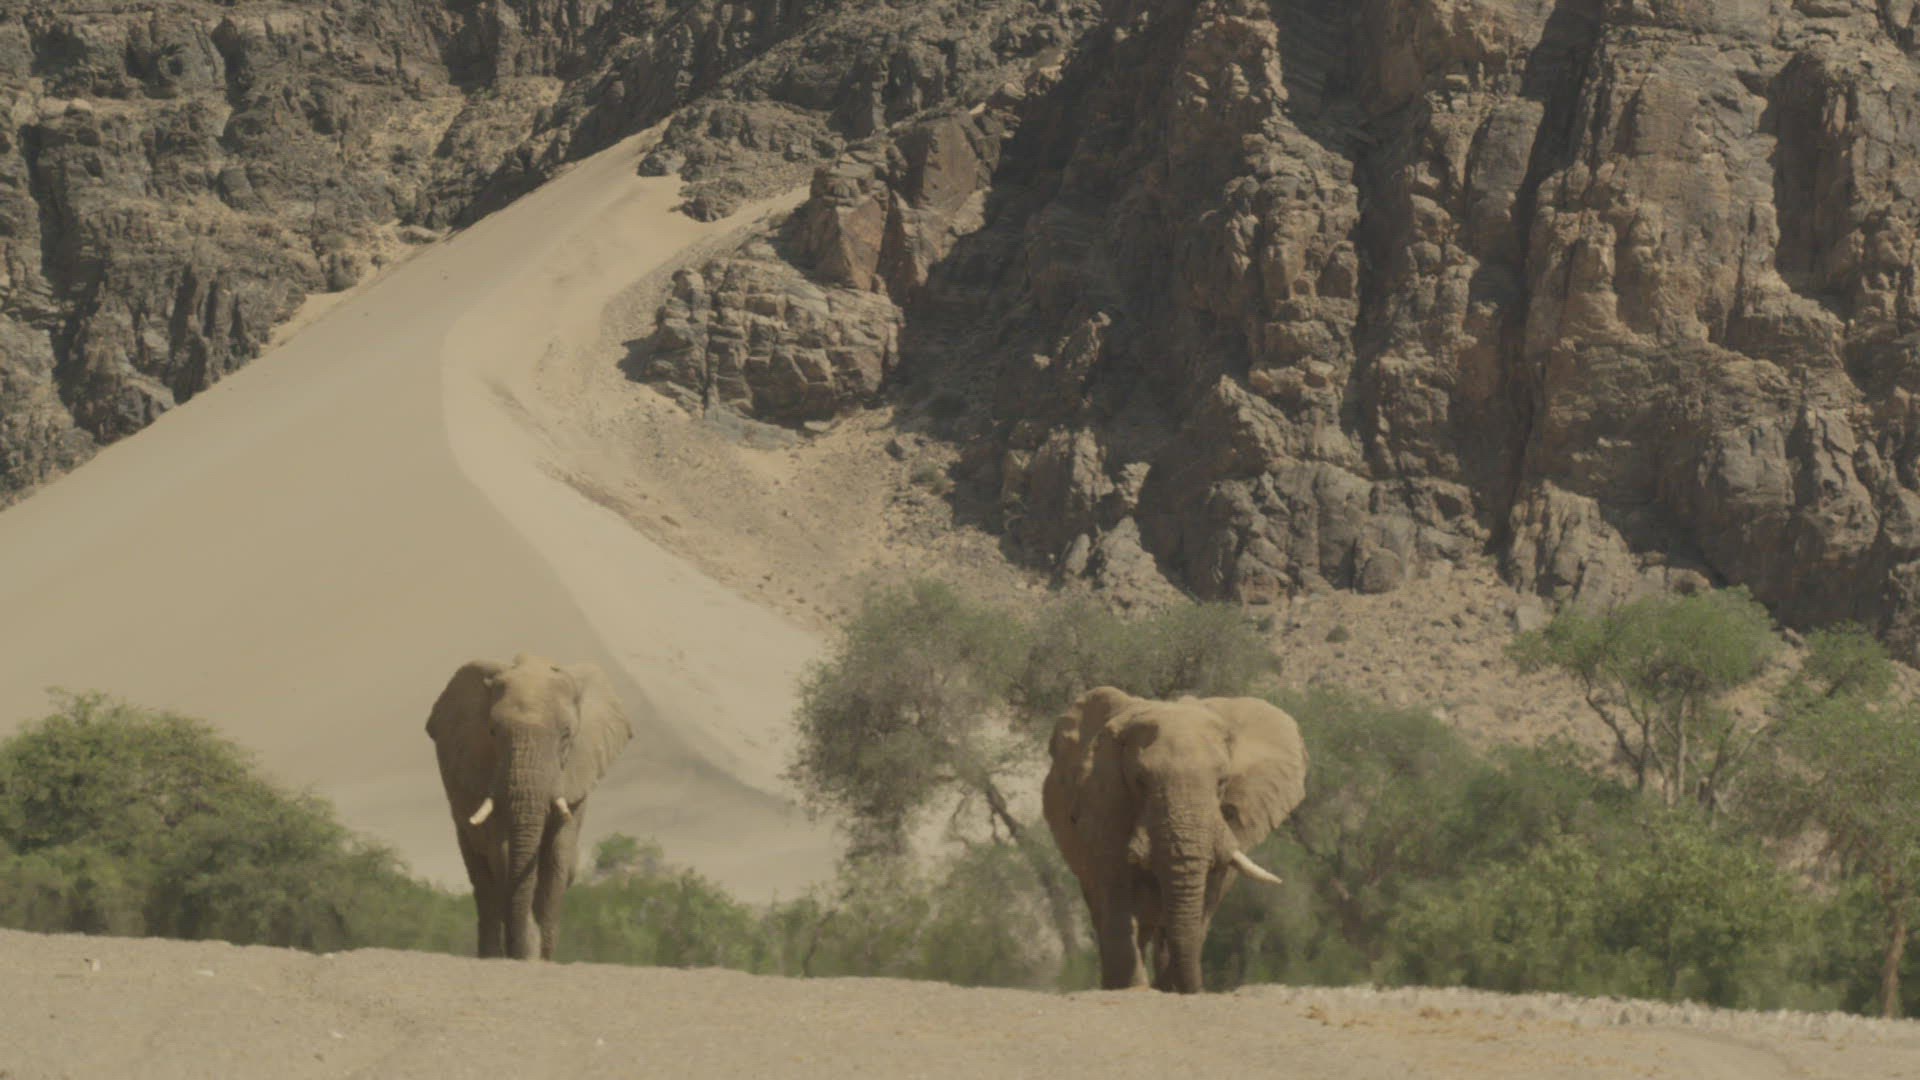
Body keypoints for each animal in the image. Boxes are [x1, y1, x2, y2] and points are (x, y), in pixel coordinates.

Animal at [426, 653, 633, 960]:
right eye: (492, 732)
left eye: (566, 735)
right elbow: (502, 853)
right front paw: (525, 952)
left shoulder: (575, 774)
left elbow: (558, 854)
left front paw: (540, 957)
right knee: (482, 880)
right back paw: (492, 955)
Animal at [1042, 685, 1308, 993]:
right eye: (1140, 781)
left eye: (1222, 782)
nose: (1197, 989)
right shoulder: (1103, 802)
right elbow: (1116, 889)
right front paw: (1135, 988)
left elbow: (1206, 898)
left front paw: (1169, 986)